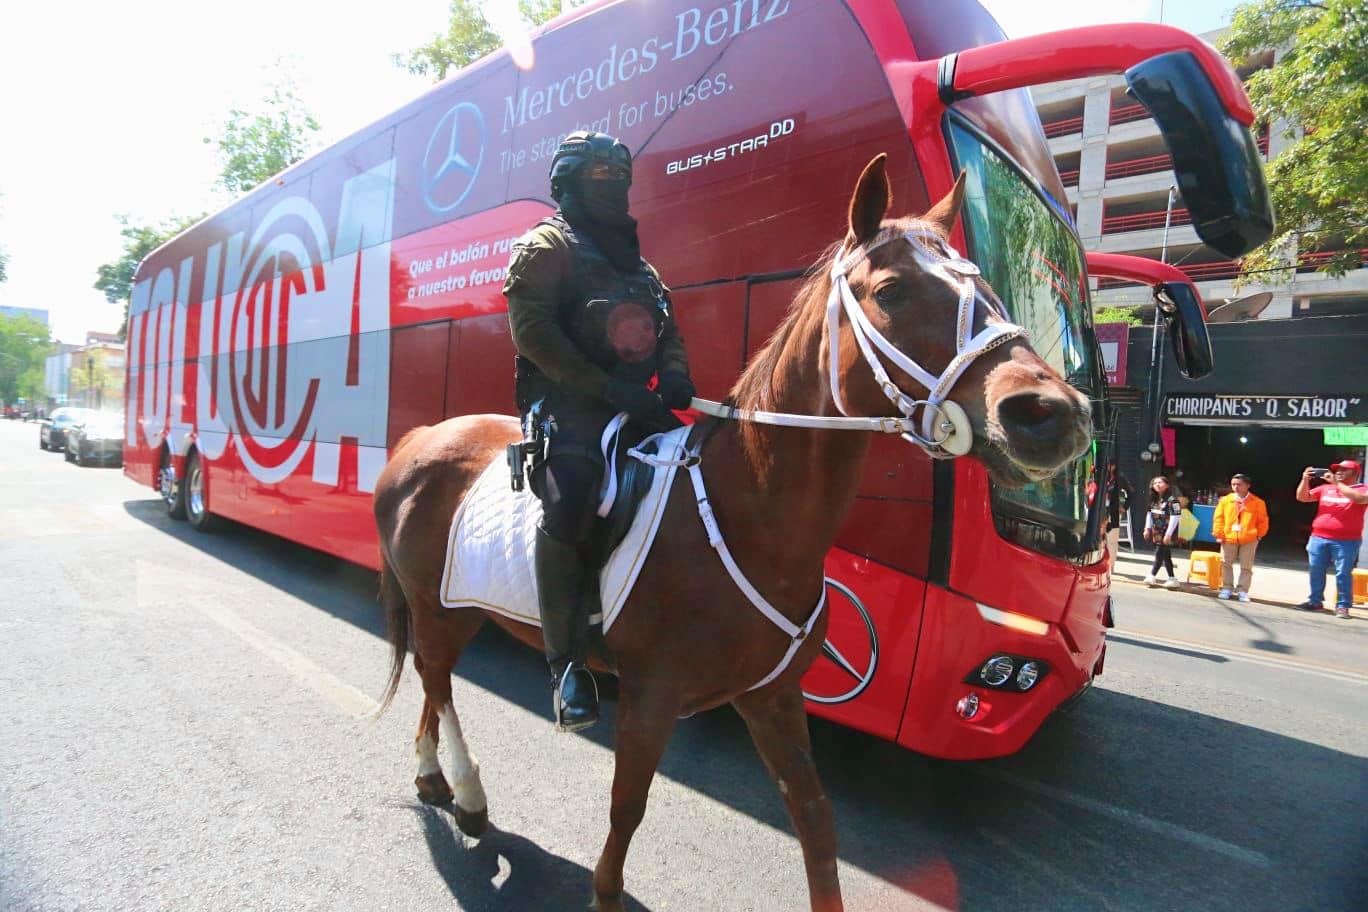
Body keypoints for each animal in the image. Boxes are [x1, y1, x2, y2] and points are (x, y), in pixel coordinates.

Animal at [372, 157, 1088, 912]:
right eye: (892, 291)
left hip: (457, 609)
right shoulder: (651, 697)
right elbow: (626, 811)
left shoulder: (772, 698)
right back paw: (466, 792)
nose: (1049, 413)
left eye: (988, 288)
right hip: (435, 607)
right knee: (436, 679)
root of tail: (419, 438)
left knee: (431, 682)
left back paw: (438, 780)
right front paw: (604, 888)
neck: (747, 515)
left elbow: (815, 821)